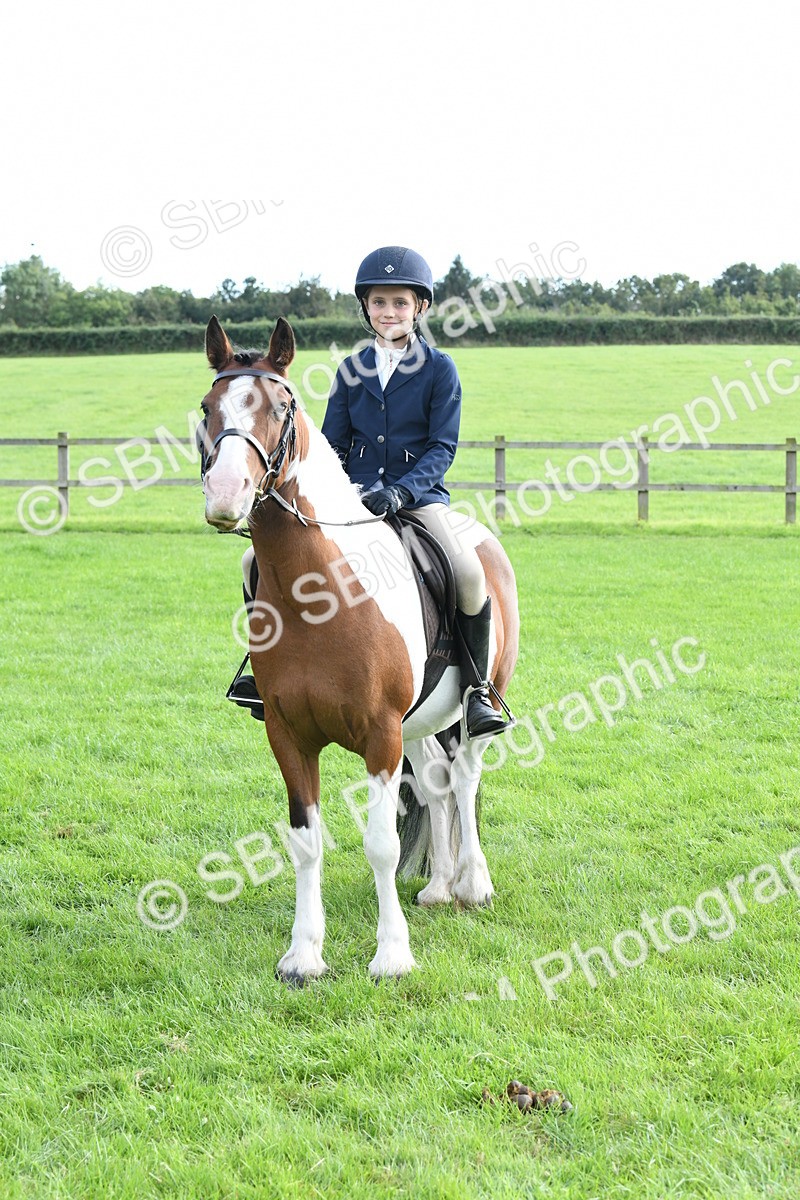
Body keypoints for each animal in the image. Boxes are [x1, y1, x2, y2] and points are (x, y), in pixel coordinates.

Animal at [199, 315, 519, 982]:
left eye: (280, 408)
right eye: (208, 408)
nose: (225, 494)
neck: (320, 593)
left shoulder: (379, 733)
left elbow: (381, 843)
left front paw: (392, 955)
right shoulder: (289, 735)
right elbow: (305, 840)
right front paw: (303, 955)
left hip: (470, 705)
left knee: (466, 777)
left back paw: (472, 885)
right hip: (420, 724)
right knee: (438, 784)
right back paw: (438, 888)